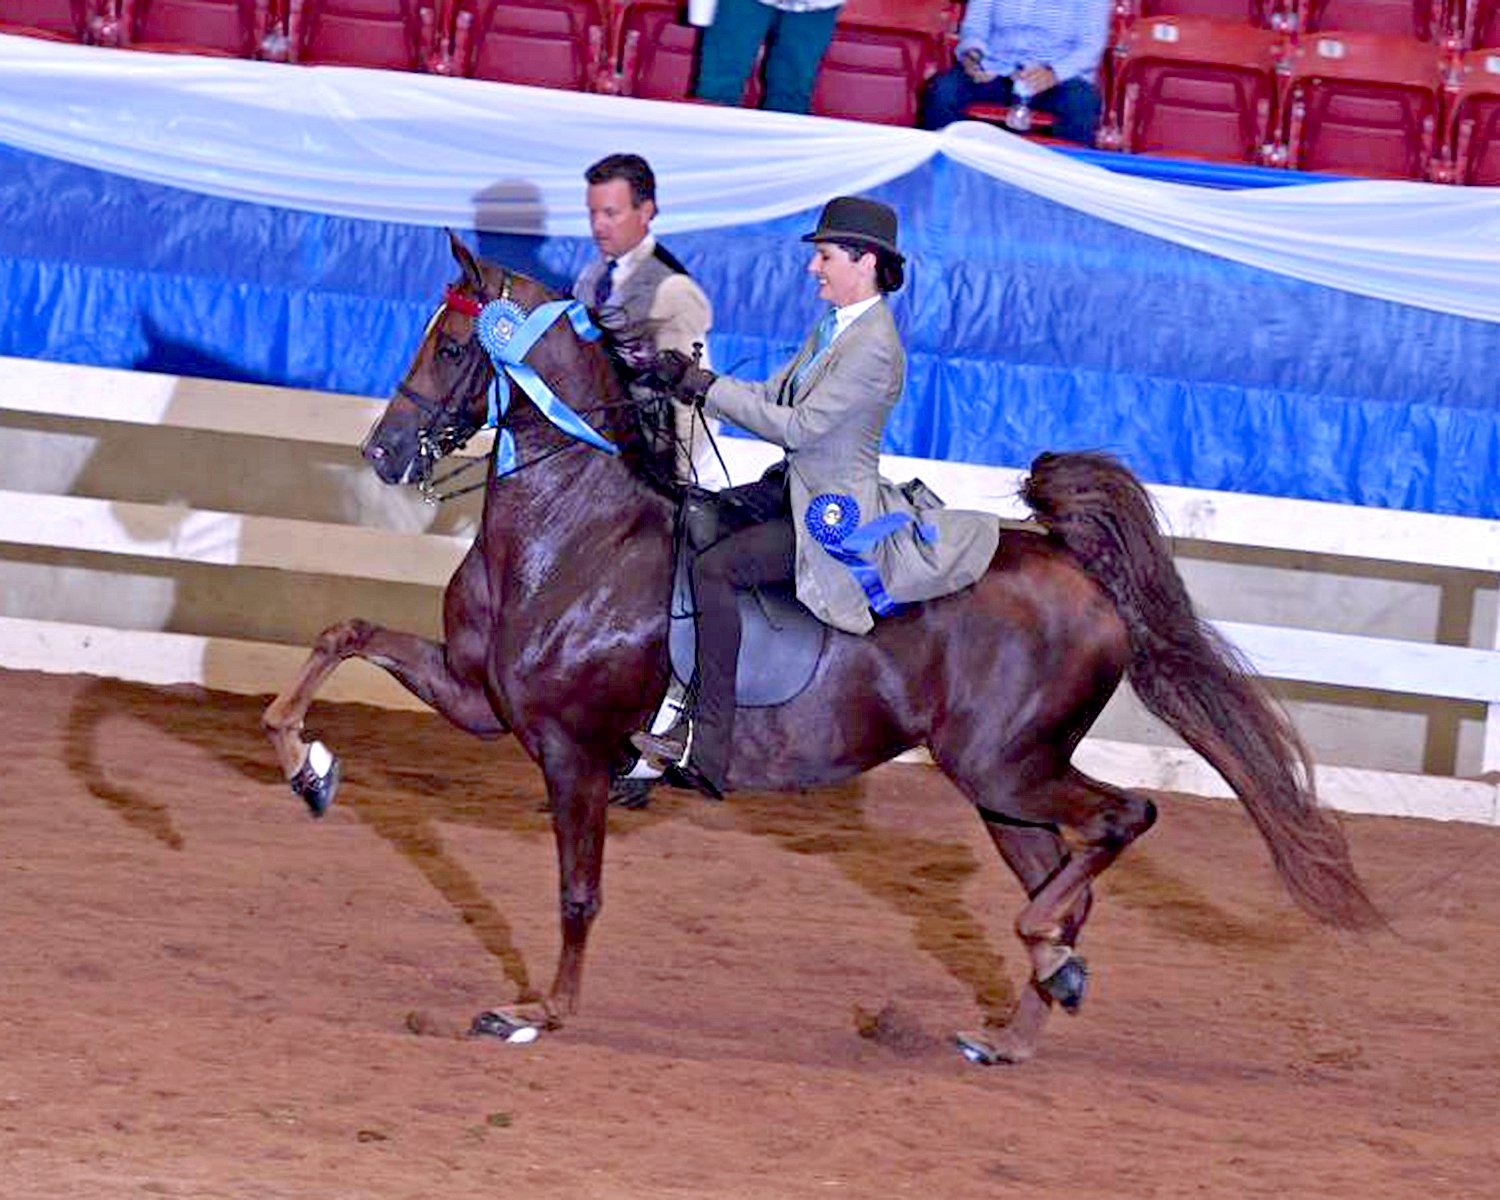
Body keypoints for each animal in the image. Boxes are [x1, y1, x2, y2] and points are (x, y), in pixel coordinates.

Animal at [261, 237, 1380, 1068]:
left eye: (455, 345)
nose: (382, 455)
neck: (569, 534)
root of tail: (1075, 566)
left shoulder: (573, 750)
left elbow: (579, 894)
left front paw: (540, 1013)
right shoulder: (482, 699)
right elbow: (340, 635)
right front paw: (306, 766)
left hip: (1007, 766)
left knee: (1124, 819)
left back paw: (1044, 956)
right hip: (1002, 787)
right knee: (1073, 872)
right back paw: (1021, 1014)